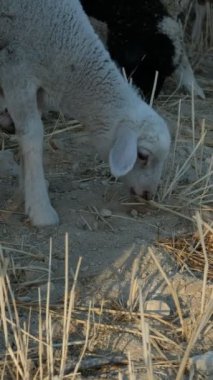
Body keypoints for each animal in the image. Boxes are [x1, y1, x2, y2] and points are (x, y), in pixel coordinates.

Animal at [0, 0, 171, 226]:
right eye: (142, 155)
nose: (148, 195)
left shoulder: (36, 87)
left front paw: (26, 189)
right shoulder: (16, 70)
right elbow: (32, 136)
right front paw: (41, 211)